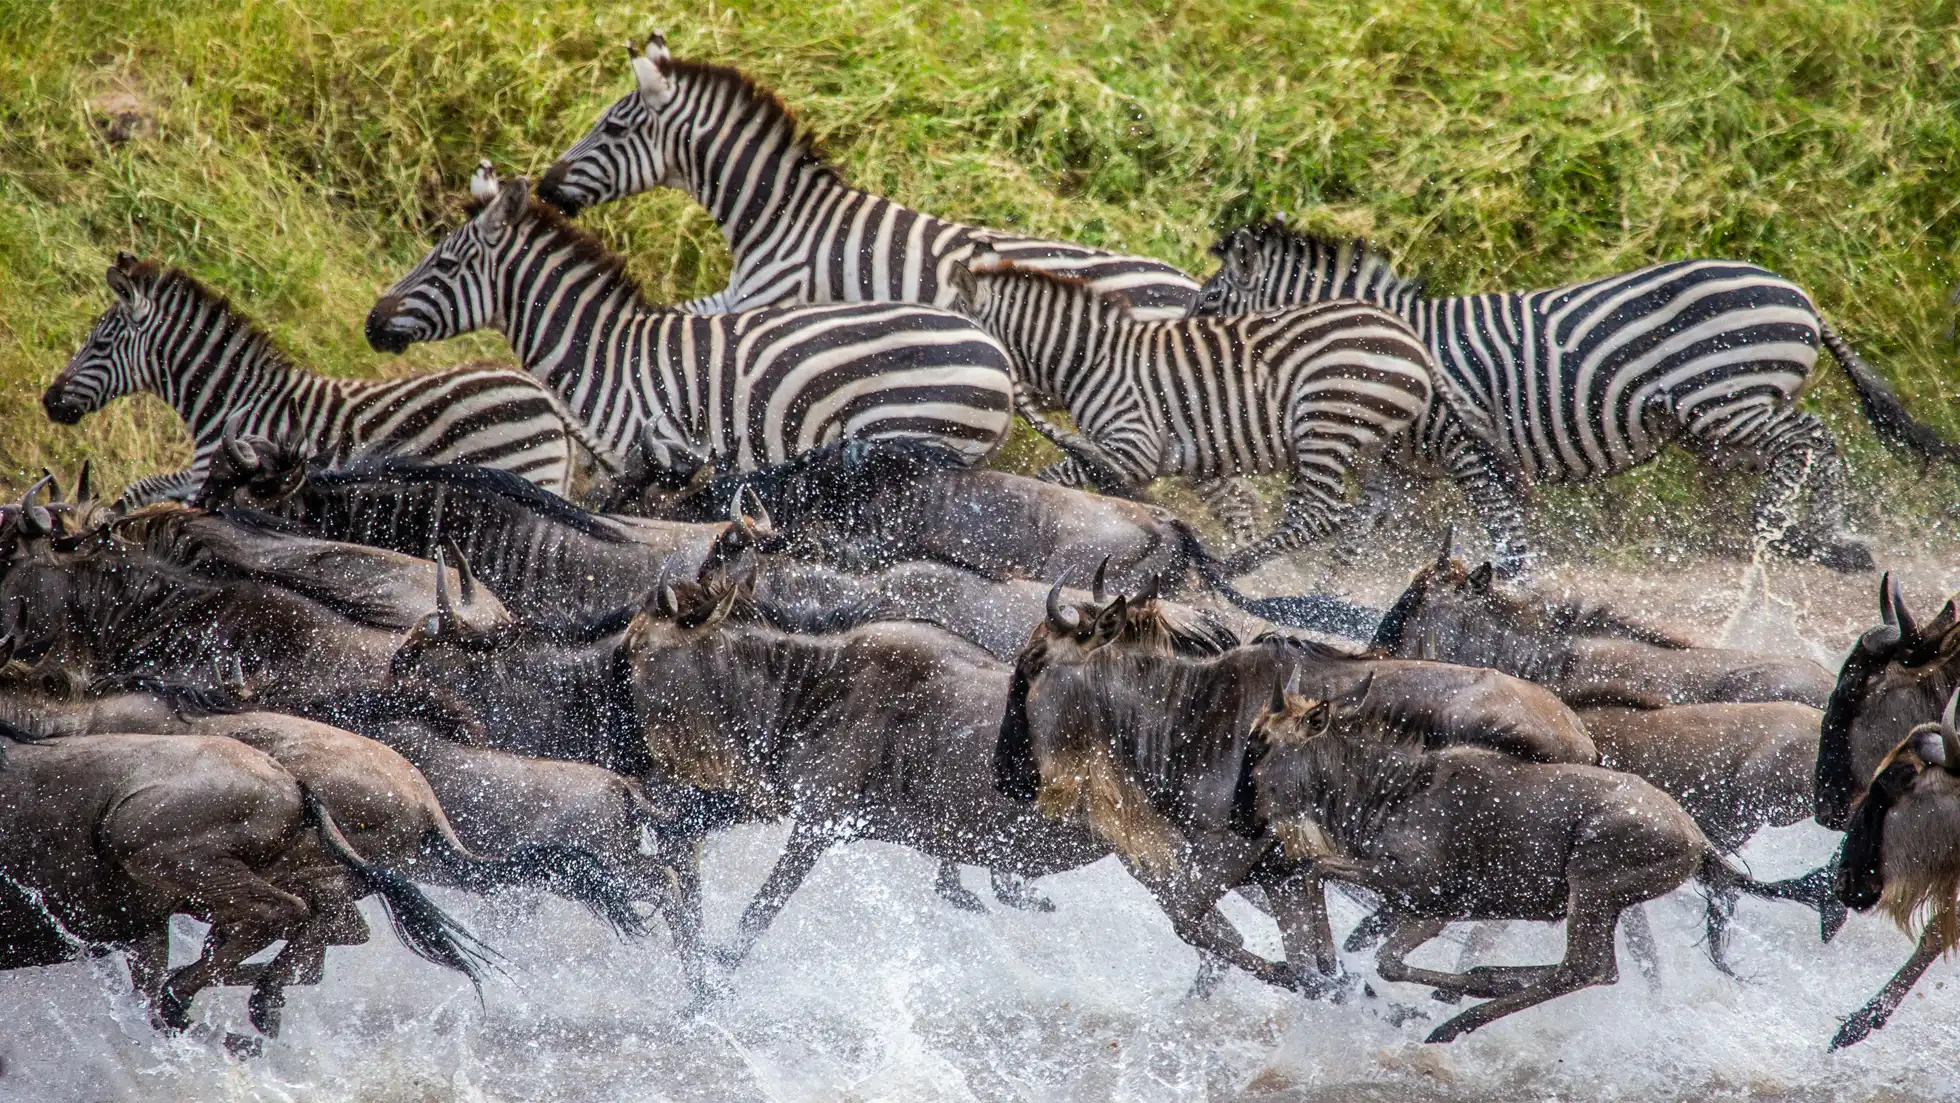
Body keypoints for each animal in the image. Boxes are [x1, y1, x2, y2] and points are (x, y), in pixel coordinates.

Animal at [45, 253, 595, 506]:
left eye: (98, 345)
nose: (49, 400)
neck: (229, 399)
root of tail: (546, 399)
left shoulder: (217, 469)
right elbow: (145, 487)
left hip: (521, 470)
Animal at [949, 250, 1435, 576]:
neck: (1091, 361)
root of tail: (1412, 341)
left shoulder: (1133, 446)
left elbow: (1052, 478)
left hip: (1326, 425)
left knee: (1320, 515)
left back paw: (1226, 572)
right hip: (1368, 449)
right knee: (1358, 517)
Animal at [1194, 220, 1960, 574]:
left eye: (1206, 305)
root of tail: (1798, 292)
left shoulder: (1465, 449)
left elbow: (1501, 529)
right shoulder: (1402, 470)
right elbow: (1354, 537)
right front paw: (1334, 593)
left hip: (1727, 399)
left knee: (1810, 440)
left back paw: (1790, 530)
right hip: (1724, 423)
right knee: (1811, 445)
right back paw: (1822, 536)